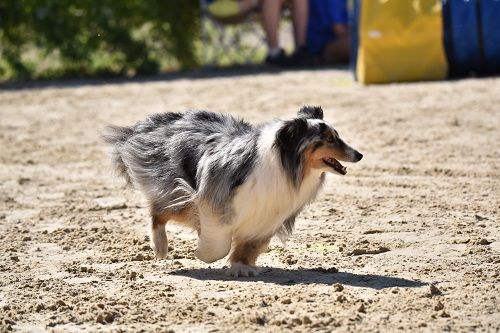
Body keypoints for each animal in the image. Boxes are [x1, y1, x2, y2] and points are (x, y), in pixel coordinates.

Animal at [103, 105, 362, 274]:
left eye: (336, 136)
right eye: (329, 139)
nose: (359, 155)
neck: (282, 163)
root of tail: (157, 121)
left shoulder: (268, 216)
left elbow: (248, 246)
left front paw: (241, 267)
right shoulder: (213, 200)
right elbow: (219, 245)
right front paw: (203, 253)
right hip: (178, 191)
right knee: (158, 211)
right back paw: (160, 247)